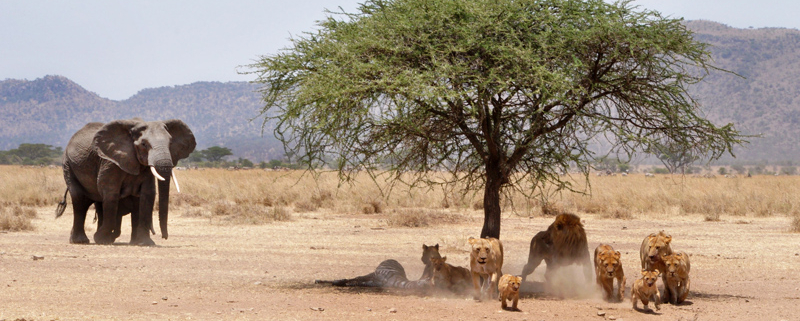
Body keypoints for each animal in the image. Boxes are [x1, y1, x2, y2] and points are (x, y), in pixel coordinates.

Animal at [54, 118, 195, 245]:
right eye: (144, 144)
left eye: (170, 144)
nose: (164, 237)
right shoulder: (110, 162)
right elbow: (111, 193)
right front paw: (101, 239)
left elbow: (148, 194)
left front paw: (145, 243)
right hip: (68, 165)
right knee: (80, 200)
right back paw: (81, 241)